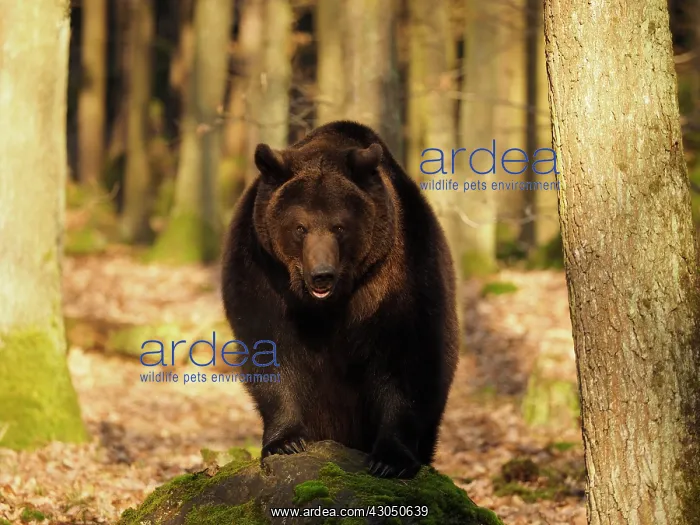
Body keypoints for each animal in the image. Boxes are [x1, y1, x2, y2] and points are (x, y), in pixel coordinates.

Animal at [221, 120, 459, 479]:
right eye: (300, 227)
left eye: (339, 226)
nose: (322, 274)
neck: (327, 304)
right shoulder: (262, 271)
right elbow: (271, 350)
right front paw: (285, 441)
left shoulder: (398, 273)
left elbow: (405, 357)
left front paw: (391, 459)